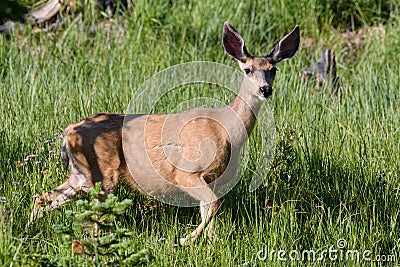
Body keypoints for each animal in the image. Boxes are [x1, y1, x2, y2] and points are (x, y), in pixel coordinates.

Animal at [30, 22, 300, 247]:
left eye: (273, 69)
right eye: (247, 69)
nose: (265, 90)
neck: (226, 130)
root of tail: (68, 133)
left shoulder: (214, 178)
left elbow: (209, 209)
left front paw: (209, 243)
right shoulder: (186, 173)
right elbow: (213, 205)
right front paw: (185, 239)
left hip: (80, 174)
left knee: (44, 198)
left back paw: (30, 229)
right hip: (102, 174)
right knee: (94, 212)